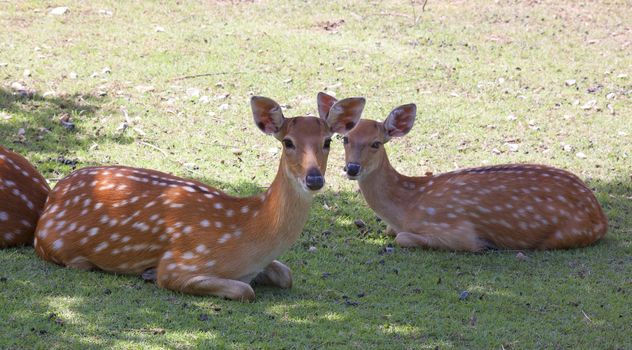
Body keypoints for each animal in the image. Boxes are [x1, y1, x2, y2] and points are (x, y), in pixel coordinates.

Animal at [34, 95, 368, 300]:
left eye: (327, 141)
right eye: (288, 142)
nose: (314, 178)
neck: (246, 234)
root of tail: (53, 197)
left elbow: (286, 274)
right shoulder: (181, 261)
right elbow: (245, 291)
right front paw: (149, 273)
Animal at [320, 95, 608, 252]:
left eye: (376, 143)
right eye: (345, 139)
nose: (352, 168)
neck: (406, 207)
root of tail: (600, 215)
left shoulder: (458, 231)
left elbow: (402, 237)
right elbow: (393, 232)